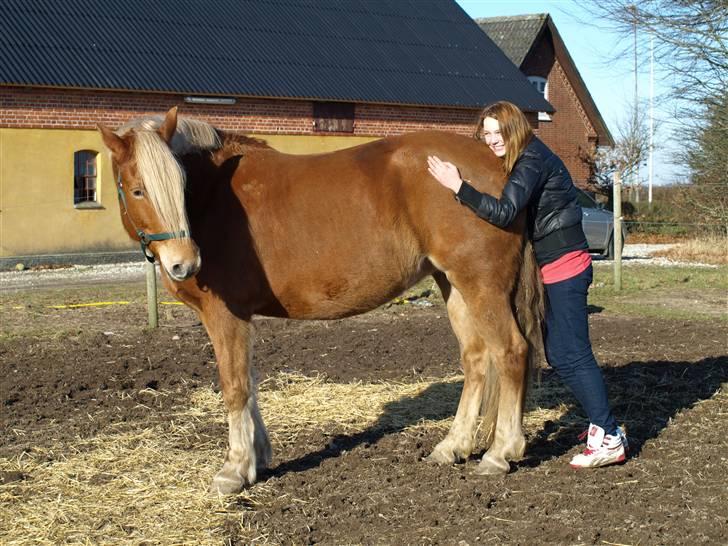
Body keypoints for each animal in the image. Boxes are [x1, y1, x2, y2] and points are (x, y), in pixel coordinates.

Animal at [98, 106, 540, 492]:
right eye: (138, 190)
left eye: (181, 186)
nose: (184, 263)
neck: (213, 200)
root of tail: (499, 165)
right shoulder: (242, 319)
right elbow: (251, 382)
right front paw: (258, 457)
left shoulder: (225, 315)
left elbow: (235, 386)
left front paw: (234, 470)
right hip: (453, 285)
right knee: (476, 358)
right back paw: (453, 446)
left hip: (482, 285)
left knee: (511, 351)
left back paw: (501, 452)